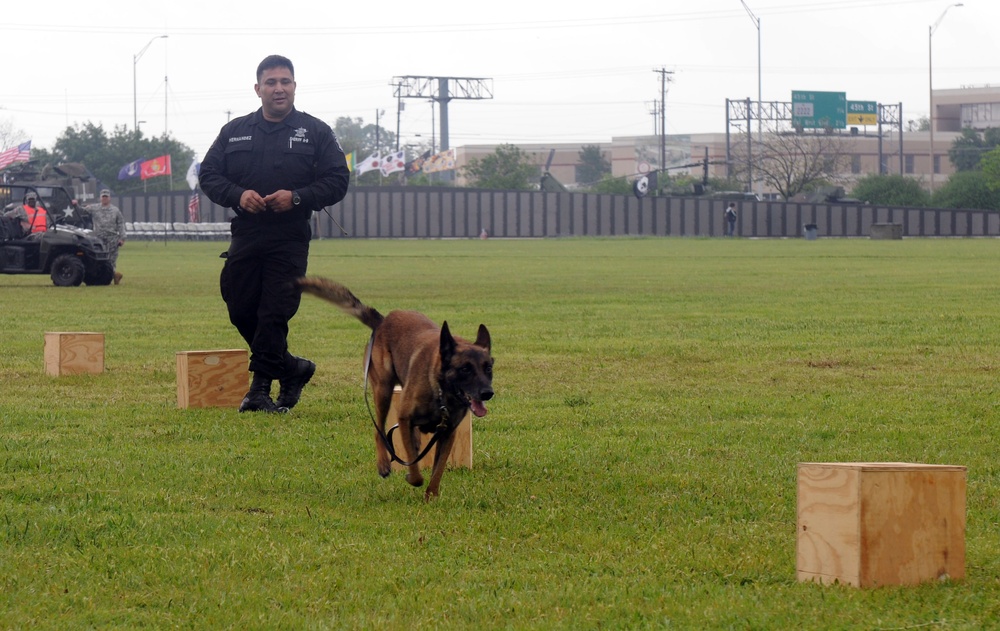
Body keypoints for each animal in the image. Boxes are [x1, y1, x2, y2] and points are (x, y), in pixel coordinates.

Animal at [296, 278, 496, 502]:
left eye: (488, 368)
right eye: (465, 369)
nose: (487, 393)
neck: (441, 393)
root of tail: (383, 321)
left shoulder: (447, 434)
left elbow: (437, 470)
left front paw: (431, 496)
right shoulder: (406, 417)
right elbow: (415, 471)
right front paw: (413, 478)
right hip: (383, 390)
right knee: (379, 430)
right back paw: (383, 464)